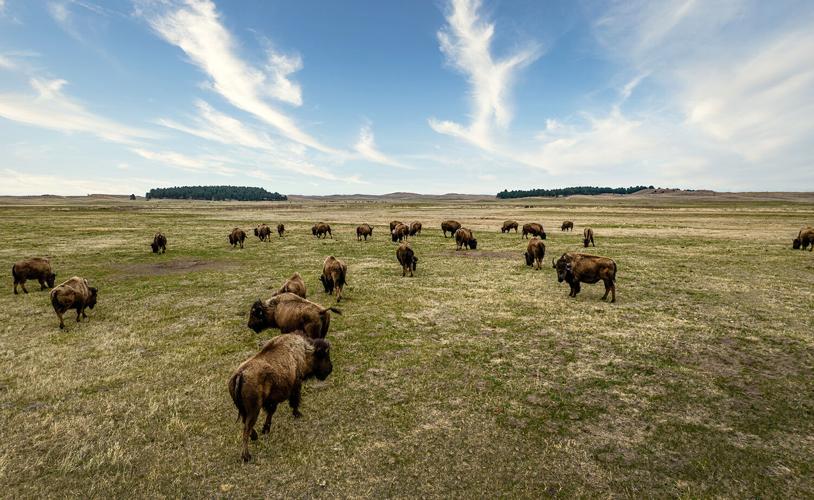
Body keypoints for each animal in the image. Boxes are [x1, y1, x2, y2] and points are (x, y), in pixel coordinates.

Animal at [228, 333, 332, 462]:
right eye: (324, 356)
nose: (330, 369)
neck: (304, 351)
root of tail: (240, 374)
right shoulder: (295, 385)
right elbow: (294, 402)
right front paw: (297, 414)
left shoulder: (272, 400)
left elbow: (271, 412)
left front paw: (265, 429)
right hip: (254, 410)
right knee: (246, 428)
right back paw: (247, 456)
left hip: (243, 409)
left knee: (245, 423)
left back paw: (255, 437)